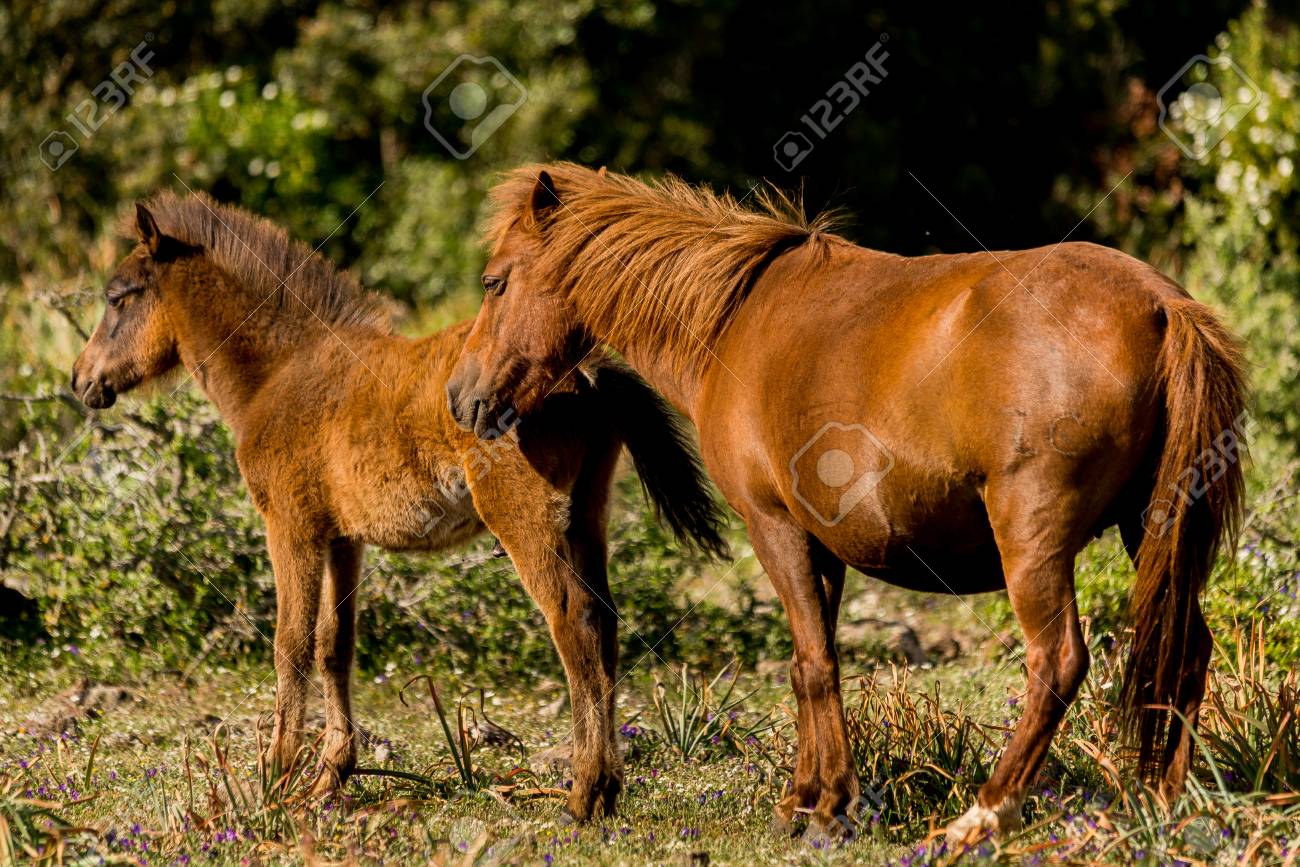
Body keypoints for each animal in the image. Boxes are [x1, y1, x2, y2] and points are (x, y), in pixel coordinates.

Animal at [69, 191, 726, 822]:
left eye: (118, 298)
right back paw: (609, 791)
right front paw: (329, 777)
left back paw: (586, 793)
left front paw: (275, 779)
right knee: (605, 621)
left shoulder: (291, 527)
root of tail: (584, 369)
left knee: (573, 621)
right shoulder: (343, 538)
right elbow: (334, 644)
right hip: (586, 514)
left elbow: (290, 644)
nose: (80, 380)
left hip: (524, 519)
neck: (280, 372)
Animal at [445, 162, 1247, 843]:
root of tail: (1159, 304)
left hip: (1034, 540)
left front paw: (826, 807)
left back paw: (982, 815)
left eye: (494, 282)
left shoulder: (775, 529)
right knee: (1187, 652)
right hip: (1151, 528)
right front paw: (807, 796)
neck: (735, 316)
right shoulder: (823, 546)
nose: (461, 397)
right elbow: (816, 663)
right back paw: (1162, 804)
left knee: (1057, 662)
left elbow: (810, 664)